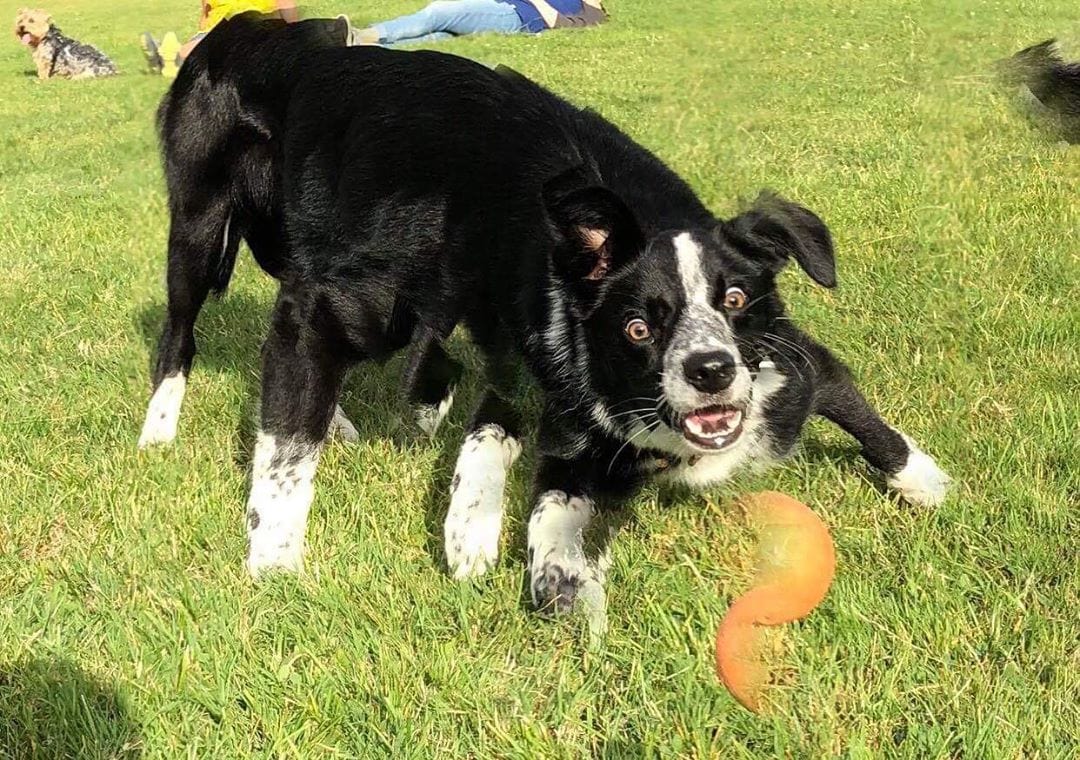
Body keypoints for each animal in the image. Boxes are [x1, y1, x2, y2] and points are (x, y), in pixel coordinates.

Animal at [139, 14, 950, 613]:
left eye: (736, 300)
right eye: (638, 326)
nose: (713, 372)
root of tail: (242, 29)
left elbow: (842, 391)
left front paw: (920, 477)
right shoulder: (332, 308)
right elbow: (285, 454)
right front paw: (276, 566)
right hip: (199, 226)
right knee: (183, 334)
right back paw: (161, 430)